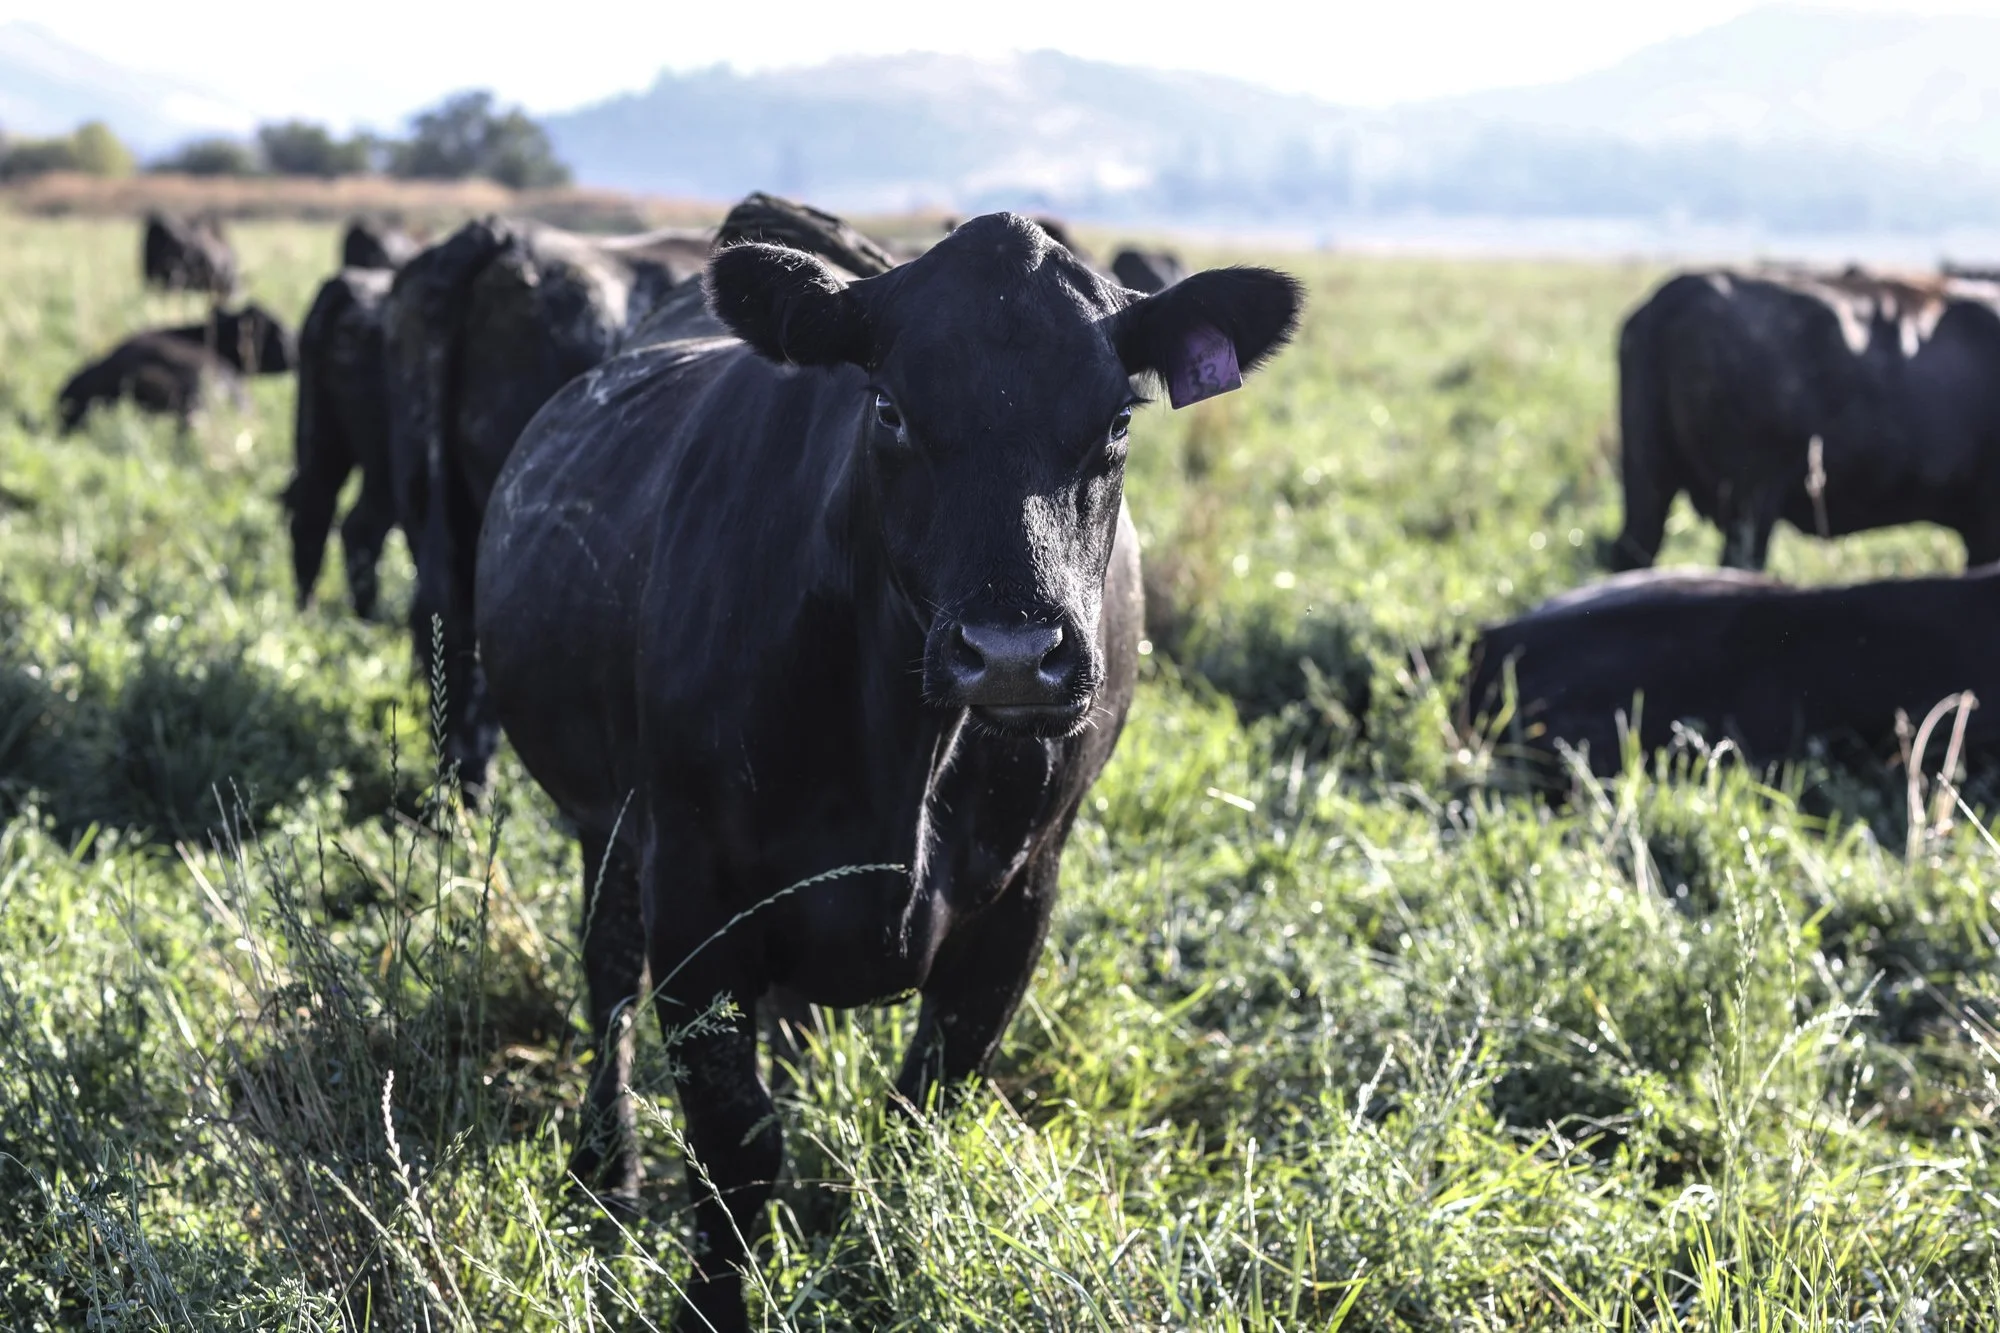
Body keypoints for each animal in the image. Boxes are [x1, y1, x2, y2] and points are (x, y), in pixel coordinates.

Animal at [474, 212, 1302, 1332]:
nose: (1012, 652)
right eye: (891, 408)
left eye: (1117, 422)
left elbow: (921, 1114)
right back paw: (606, 1164)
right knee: (607, 977)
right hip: (603, 825)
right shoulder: (694, 894)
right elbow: (735, 1145)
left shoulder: (1019, 895)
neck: (902, 765)